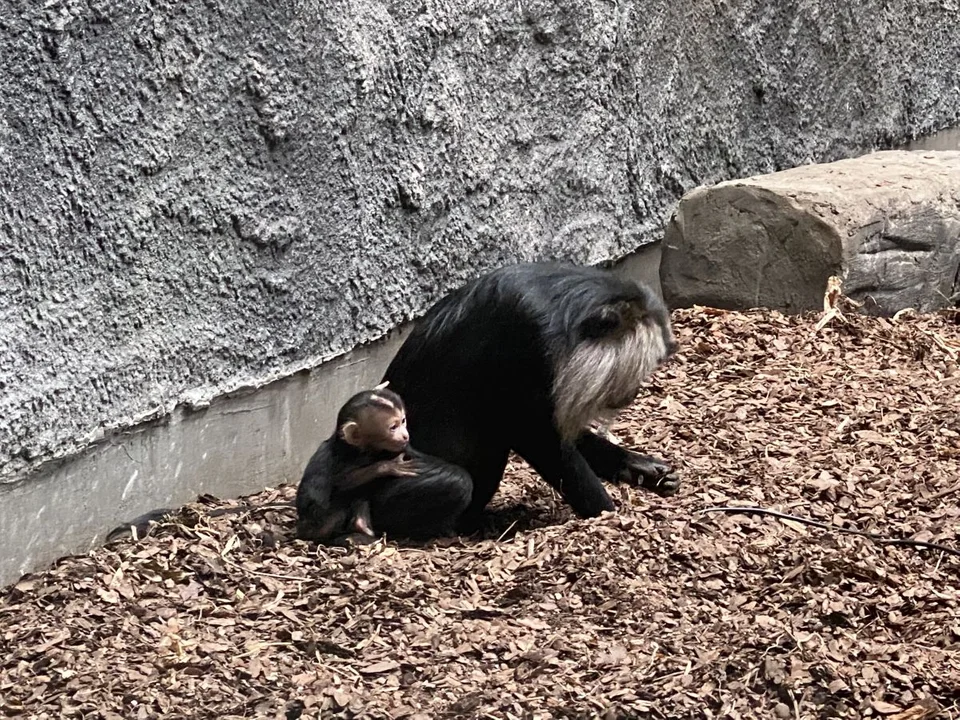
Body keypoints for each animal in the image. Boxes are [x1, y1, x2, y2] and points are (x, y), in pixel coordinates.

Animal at [296, 382, 416, 540]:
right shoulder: (348, 459)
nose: (405, 435)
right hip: (323, 522)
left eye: (403, 421)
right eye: (393, 427)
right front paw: (388, 466)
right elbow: (340, 484)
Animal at [378, 260, 680, 528]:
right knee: (459, 479)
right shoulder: (527, 341)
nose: (634, 392)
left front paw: (641, 468)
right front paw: (606, 513)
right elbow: (538, 435)